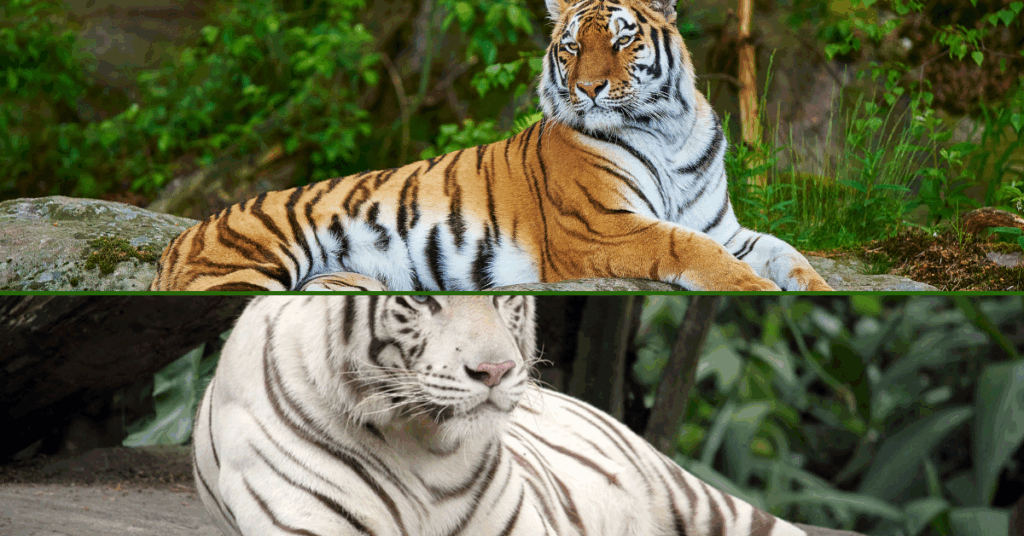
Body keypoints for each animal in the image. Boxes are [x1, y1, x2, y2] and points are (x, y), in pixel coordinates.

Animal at [150, 0, 832, 291]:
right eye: (571, 46)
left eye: (621, 40)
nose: (588, 89)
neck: (666, 128)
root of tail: (178, 239)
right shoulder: (603, 226)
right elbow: (690, 250)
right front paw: (756, 292)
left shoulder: (720, 224)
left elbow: (787, 252)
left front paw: (813, 290)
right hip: (245, 272)